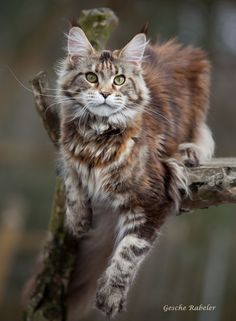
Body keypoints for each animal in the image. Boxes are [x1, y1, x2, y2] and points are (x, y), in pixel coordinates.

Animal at [56, 27, 214, 318]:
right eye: (91, 77)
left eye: (119, 80)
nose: (105, 93)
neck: (97, 138)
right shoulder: (66, 152)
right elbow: (72, 182)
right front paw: (78, 220)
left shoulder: (151, 200)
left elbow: (128, 254)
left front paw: (110, 296)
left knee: (202, 136)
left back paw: (188, 153)